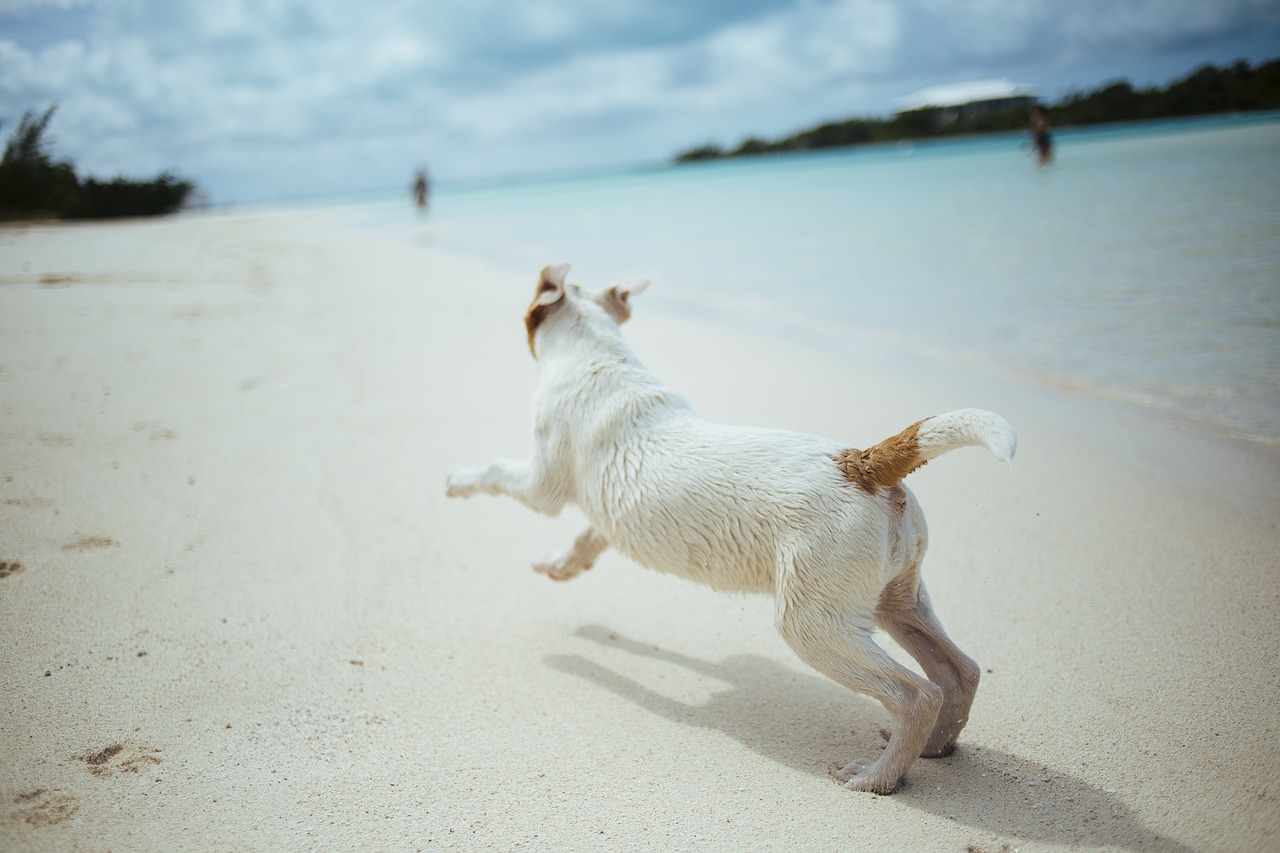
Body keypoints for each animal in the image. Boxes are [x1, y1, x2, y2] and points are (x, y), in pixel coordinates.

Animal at [445, 263, 1013, 788]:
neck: (597, 356)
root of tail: (861, 463)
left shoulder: (542, 484)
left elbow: (496, 472)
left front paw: (457, 481)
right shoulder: (609, 511)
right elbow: (587, 538)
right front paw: (560, 566)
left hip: (814, 623)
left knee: (916, 693)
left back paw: (878, 776)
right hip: (896, 599)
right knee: (959, 671)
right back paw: (937, 747)